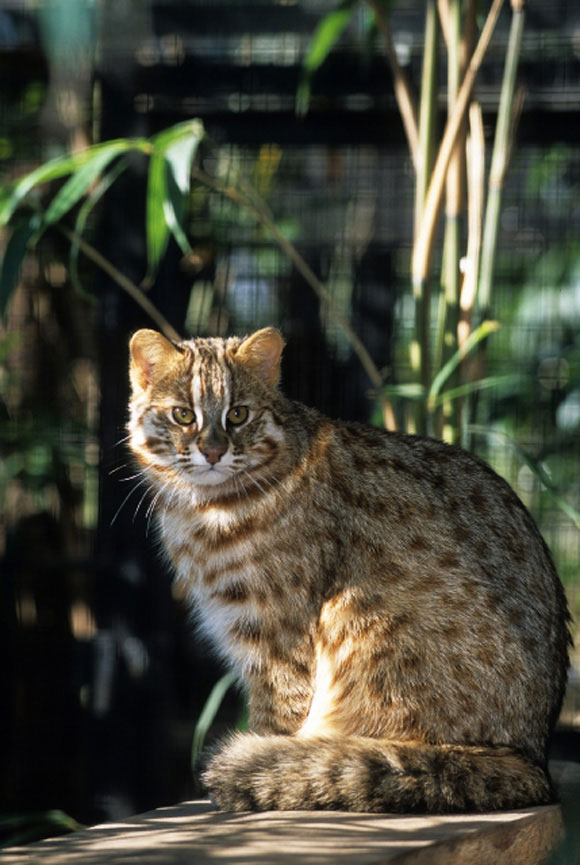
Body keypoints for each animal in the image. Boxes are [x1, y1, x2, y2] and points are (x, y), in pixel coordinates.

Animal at [128, 322, 572, 808]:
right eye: (183, 416)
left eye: (239, 415)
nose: (212, 451)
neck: (205, 508)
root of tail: (533, 761)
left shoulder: (279, 634)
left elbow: (276, 712)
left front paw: (263, 755)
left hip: (359, 615)